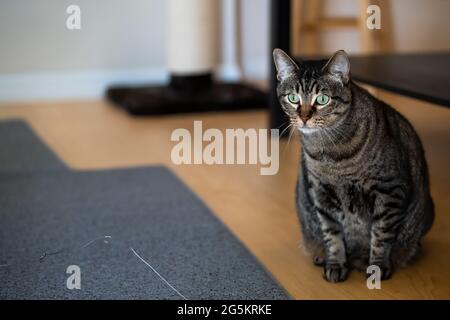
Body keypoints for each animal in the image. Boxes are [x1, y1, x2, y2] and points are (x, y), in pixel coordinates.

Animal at [272, 48, 434, 282]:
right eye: (293, 98)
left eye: (322, 99)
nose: (303, 117)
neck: (331, 155)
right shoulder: (320, 192)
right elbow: (332, 234)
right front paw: (335, 263)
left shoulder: (390, 189)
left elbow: (381, 234)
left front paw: (377, 266)